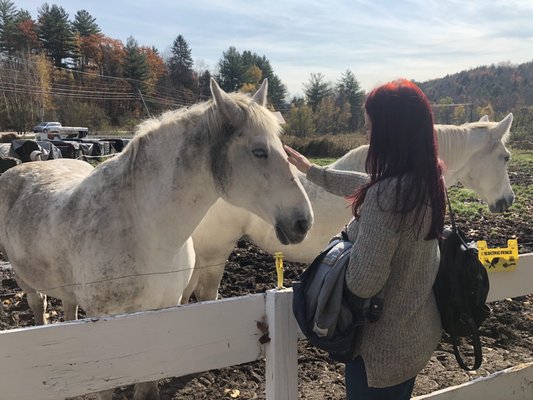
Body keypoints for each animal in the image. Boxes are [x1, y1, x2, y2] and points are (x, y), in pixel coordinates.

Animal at [0, 79, 312, 400]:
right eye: (259, 151)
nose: (303, 221)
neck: (146, 234)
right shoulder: (103, 322)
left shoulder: (162, 313)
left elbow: (146, 388)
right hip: (28, 283)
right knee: (39, 307)